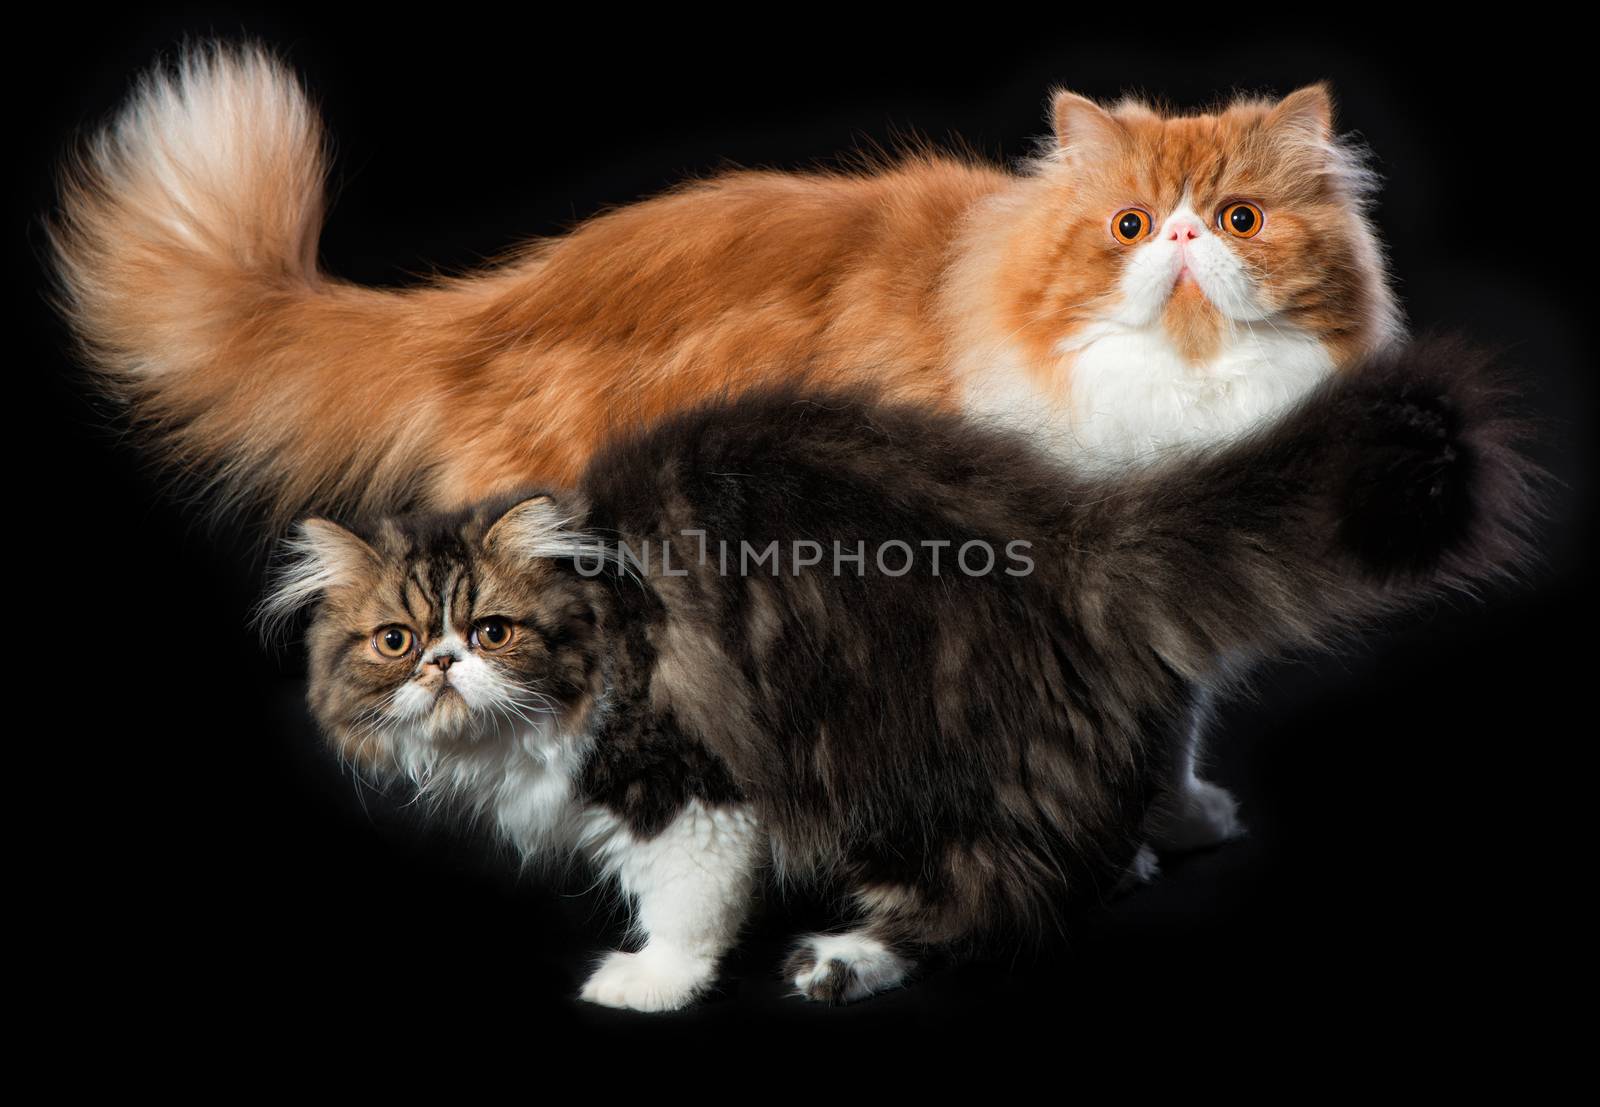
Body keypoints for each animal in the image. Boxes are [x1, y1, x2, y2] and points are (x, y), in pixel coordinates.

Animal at [268, 339, 1529, 1011]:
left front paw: (651, 983)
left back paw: (844, 959)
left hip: (889, 762)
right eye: (394, 641)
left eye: (490, 631)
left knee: (988, 907)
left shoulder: (686, 777)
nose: (438, 666)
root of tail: (1077, 540)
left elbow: (686, 898)